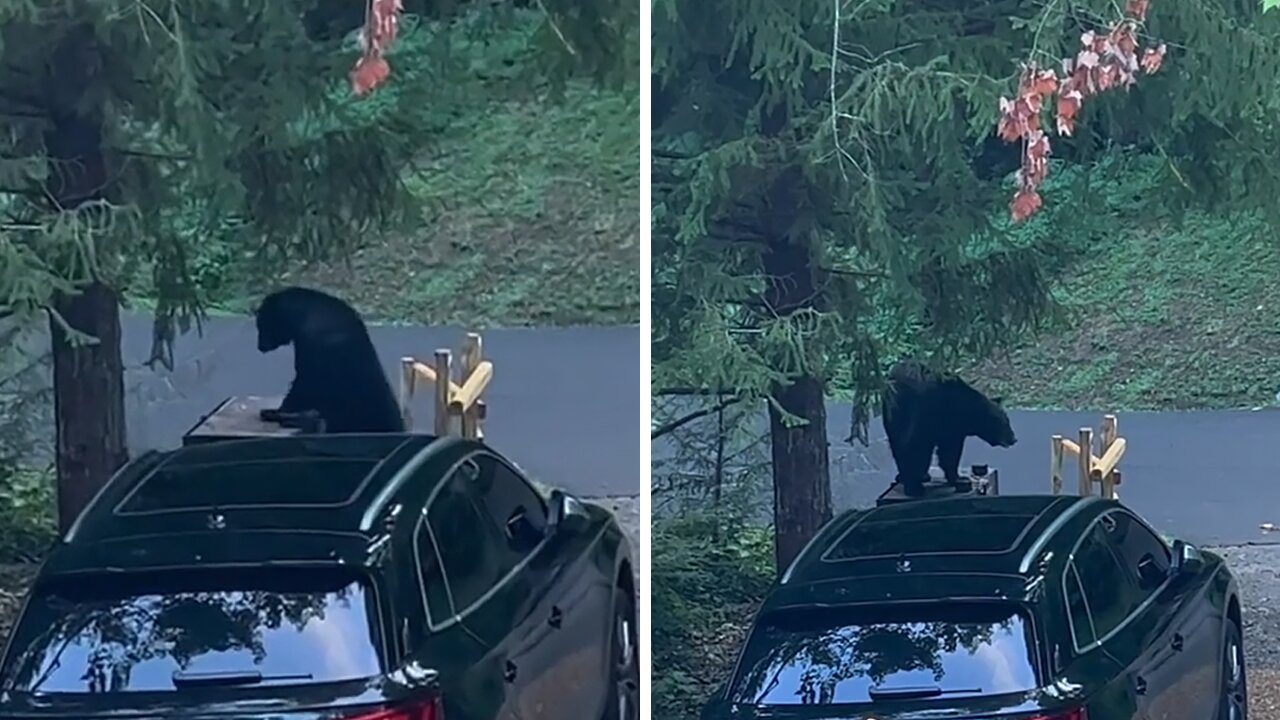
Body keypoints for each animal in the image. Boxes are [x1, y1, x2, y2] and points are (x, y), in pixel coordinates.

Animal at [880, 356, 1018, 491]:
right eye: (1005, 423)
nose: (1014, 439)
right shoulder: (943, 420)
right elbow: (947, 450)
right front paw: (958, 478)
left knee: (897, 444)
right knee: (915, 445)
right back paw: (913, 484)